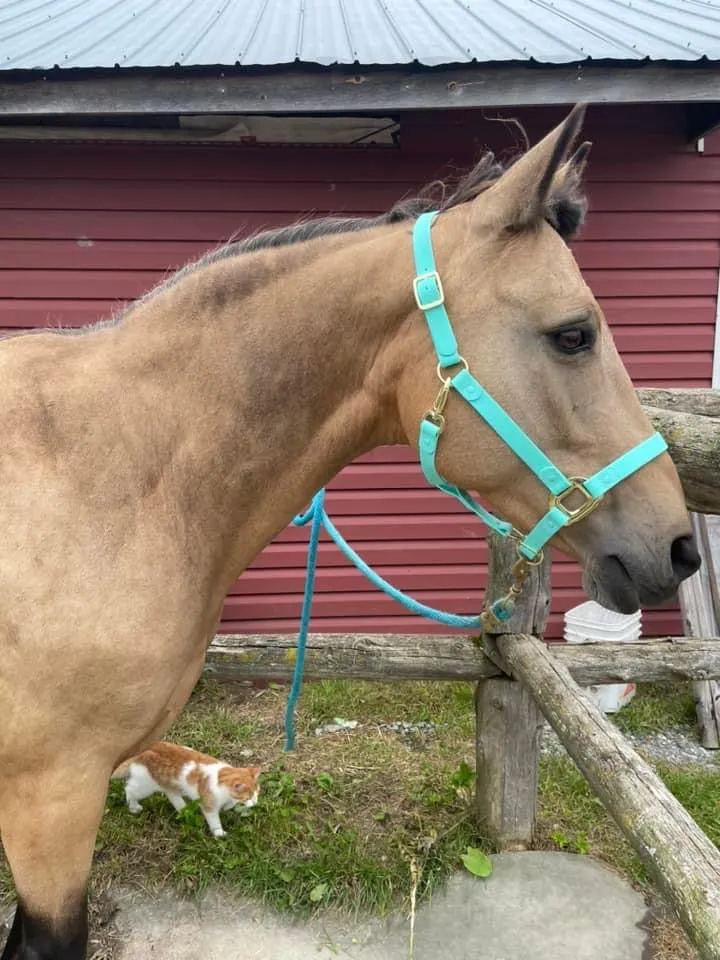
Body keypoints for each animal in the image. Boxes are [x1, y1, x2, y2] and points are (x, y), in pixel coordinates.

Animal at [111, 740, 260, 836]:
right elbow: (214, 820)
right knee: (129, 789)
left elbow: (229, 803)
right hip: (145, 785)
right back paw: (133, 807)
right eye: (249, 796)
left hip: (168, 784)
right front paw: (219, 833)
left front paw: (228, 807)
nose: (255, 803)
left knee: (171, 794)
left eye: (257, 794)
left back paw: (184, 809)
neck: (220, 776)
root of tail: (141, 751)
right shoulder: (208, 805)